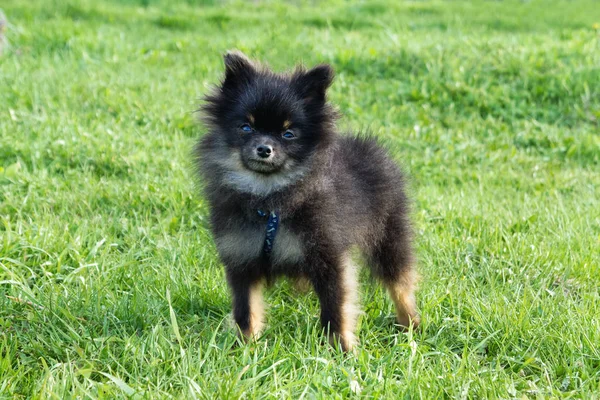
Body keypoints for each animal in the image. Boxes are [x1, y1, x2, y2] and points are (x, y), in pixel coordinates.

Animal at [196, 50, 418, 350]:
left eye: (288, 134)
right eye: (246, 127)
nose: (264, 148)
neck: (269, 199)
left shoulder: (328, 254)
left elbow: (336, 306)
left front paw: (341, 348)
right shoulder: (241, 256)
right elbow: (246, 309)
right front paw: (246, 345)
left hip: (388, 235)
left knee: (400, 282)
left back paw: (410, 323)